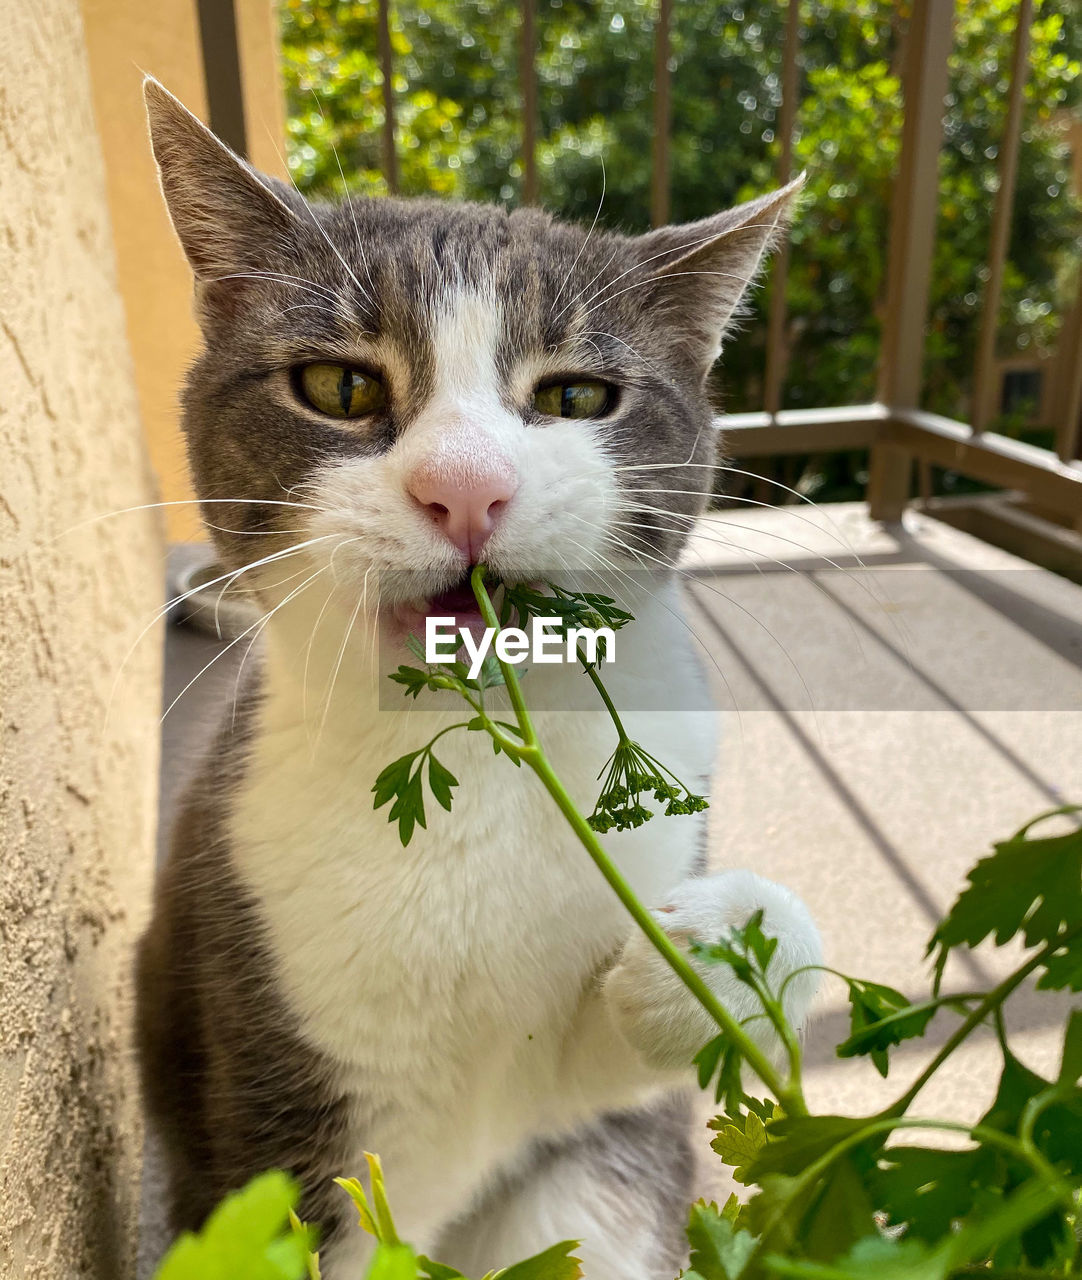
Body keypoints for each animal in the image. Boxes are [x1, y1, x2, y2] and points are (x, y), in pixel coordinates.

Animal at [135, 80, 819, 1280]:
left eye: (578, 395)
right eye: (338, 384)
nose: (465, 487)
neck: (482, 776)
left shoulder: (582, 1107)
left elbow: (616, 1065)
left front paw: (723, 947)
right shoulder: (277, 1045)